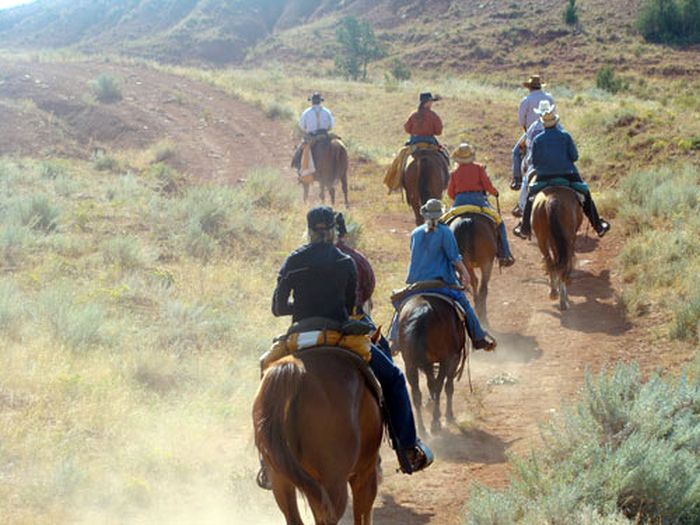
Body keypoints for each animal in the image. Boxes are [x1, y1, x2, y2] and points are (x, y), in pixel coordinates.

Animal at [253, 348, 382, 524]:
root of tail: (294, 370)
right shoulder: (365, 474)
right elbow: (363, 514)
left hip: (281, 481)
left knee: (294, 517)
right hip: (334, 484)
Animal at [396, 294, 468, 434]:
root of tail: (423, 310)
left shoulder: (426, 363)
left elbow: (430, 385)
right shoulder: (453, 359)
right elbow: (448, 387)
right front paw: (448, 416)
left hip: (410, 364)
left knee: (416, 393)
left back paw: (422, 428)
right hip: (446, 360)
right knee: (439, 386)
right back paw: (435, 423)